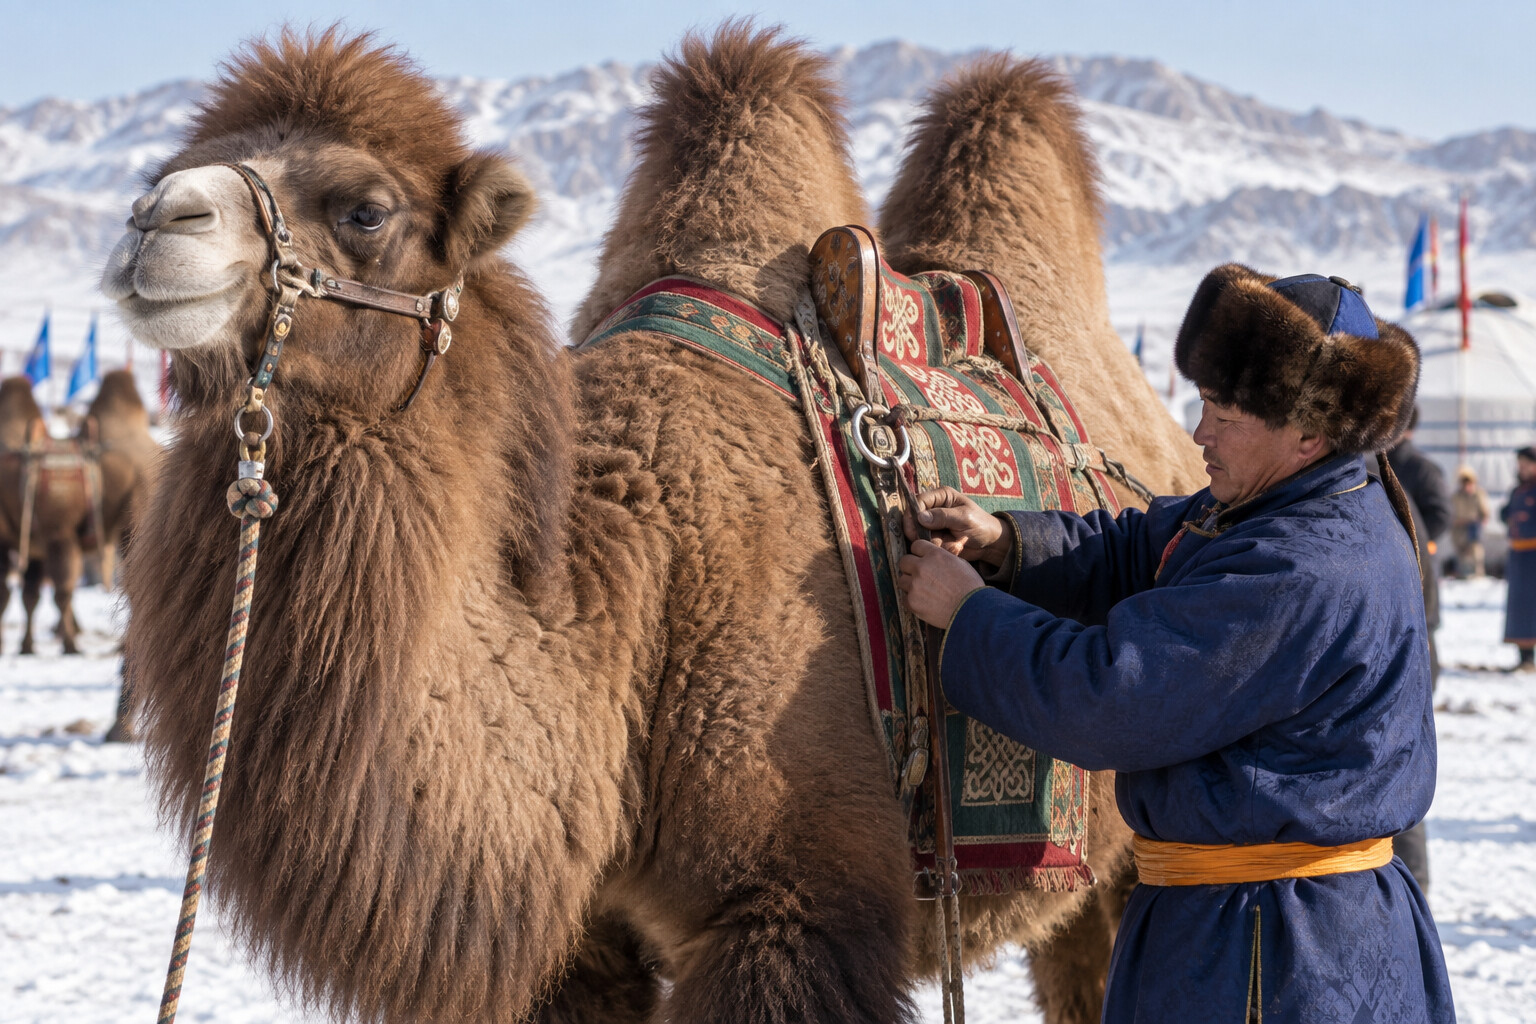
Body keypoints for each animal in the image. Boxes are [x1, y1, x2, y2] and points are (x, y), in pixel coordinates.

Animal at [0, 370, 159, 654]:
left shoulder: (57, 532)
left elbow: (55, 591)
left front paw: (70, 645)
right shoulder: (32, 542)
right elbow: (29, 595)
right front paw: (26, 646)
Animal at [107, 26, 1200, 1024]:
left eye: (366, 208)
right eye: (164, 168)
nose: (155, 217)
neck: (637, 597)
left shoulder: (791, 905)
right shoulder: (580, 942)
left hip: (1129, 853)